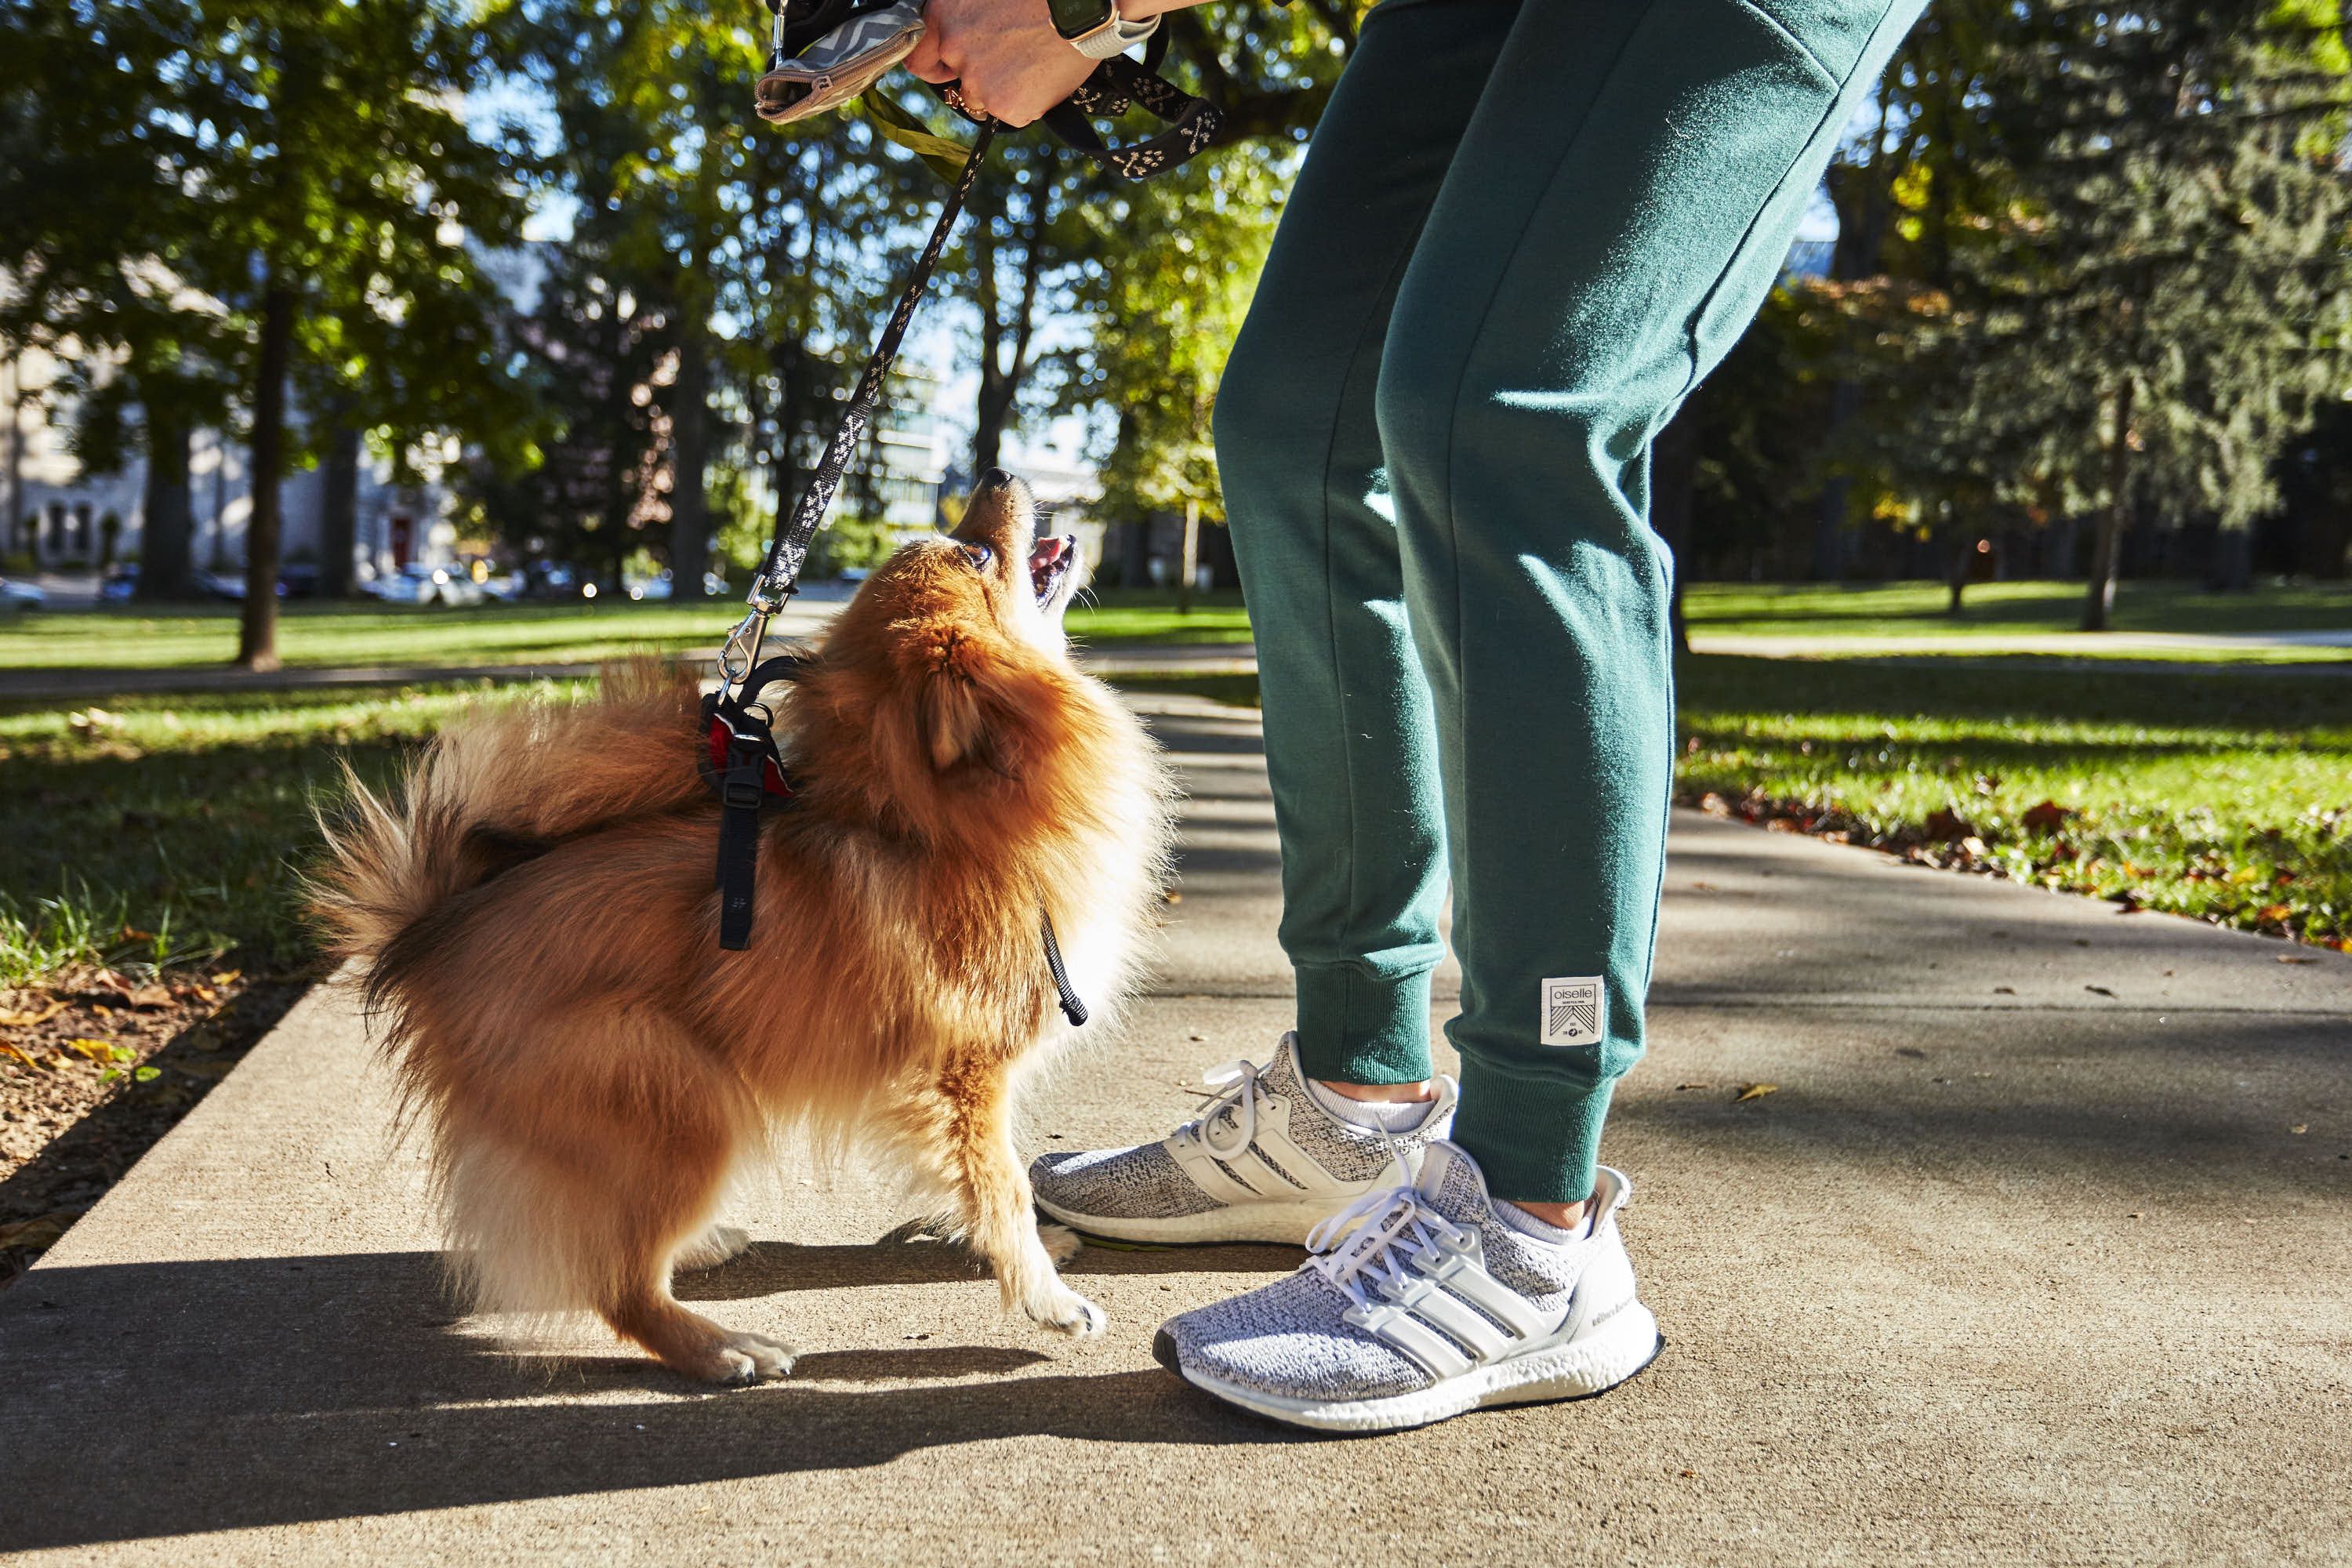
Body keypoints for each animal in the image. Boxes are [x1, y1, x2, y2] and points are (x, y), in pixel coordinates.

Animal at [318, 474, 1176, 1382]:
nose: (996, 479)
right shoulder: (964, 1077)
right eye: (975, 551)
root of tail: (432, 928)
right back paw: (717, 1344)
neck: (936, 828)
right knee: (615, 1282)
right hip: (682, 1096)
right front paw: (1045, 1296)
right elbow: (1001, 1186)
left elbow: (975, 1188)